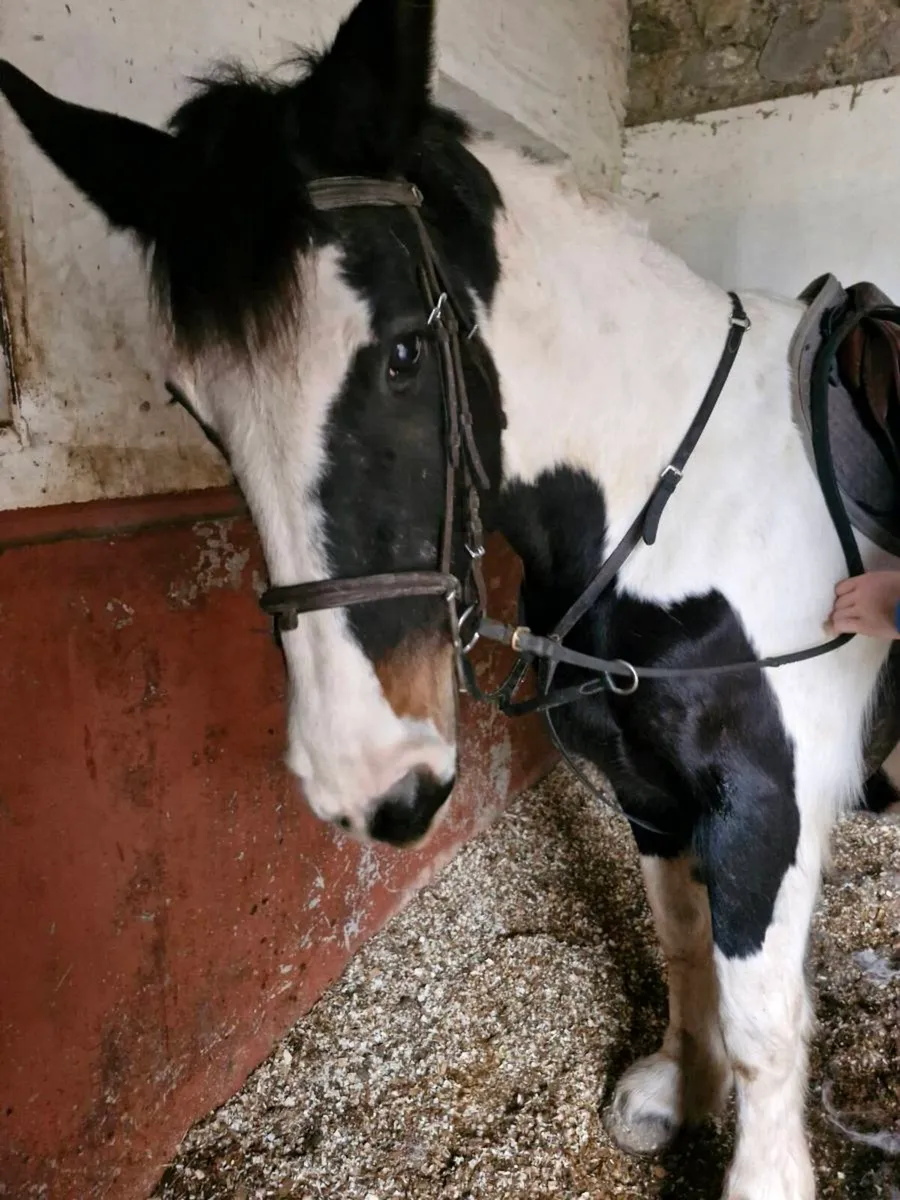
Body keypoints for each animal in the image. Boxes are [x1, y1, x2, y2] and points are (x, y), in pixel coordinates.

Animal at [2, 2, 897, 1195]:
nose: (368, 780)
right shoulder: (651, 791)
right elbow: (682, 944)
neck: (682, 500)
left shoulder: (768, 804)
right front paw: (679, 1087)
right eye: (191, 403)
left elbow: (761, 1022)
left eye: (403, 352)